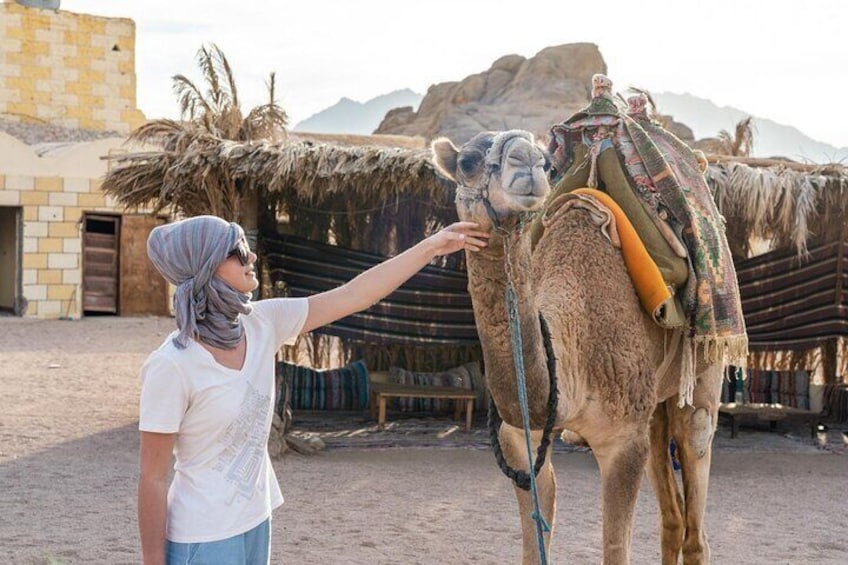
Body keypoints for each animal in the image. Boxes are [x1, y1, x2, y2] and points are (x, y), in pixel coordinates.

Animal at [434, 131, 724, 564]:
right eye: (468, 162)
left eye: (543, 160)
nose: (526, 160)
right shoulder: (520, 438)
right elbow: (534, 541)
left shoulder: (622, 441)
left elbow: (615, 548)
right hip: (653, 401)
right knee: (670, 511)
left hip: (704, 368)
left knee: (696, 460)